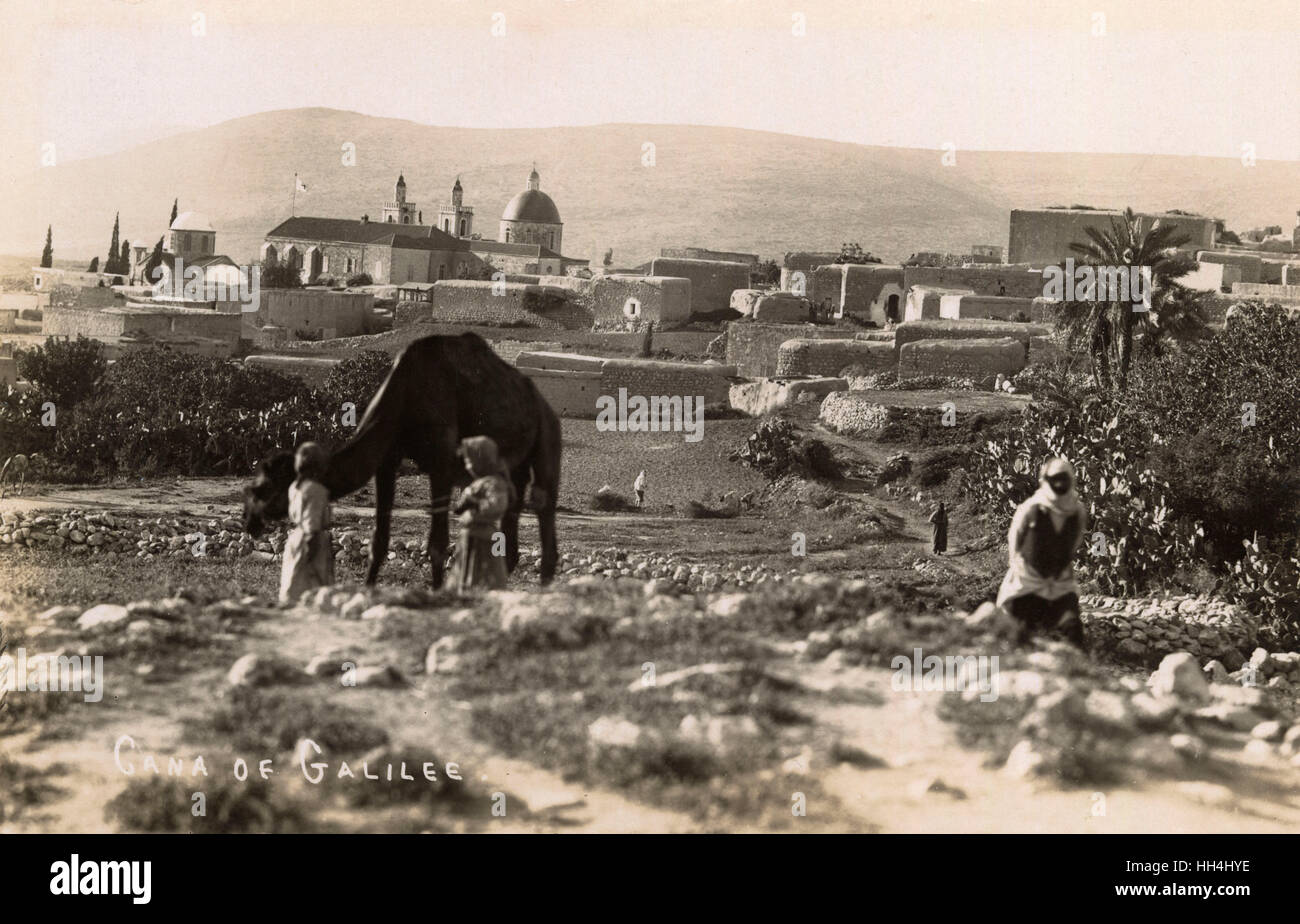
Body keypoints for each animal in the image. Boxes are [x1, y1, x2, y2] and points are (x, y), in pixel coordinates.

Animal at [244, 335, 559, 590]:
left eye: (263, 489)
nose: (249, 521)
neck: (404, 393)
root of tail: (541, 401)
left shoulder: (442, 462)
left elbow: (437, 544)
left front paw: (437, 593)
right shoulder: (387, 460)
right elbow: (378, 540)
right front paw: (367, 589)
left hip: (547, 432)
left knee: (544, 503)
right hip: (515, 464)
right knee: (513, 519)